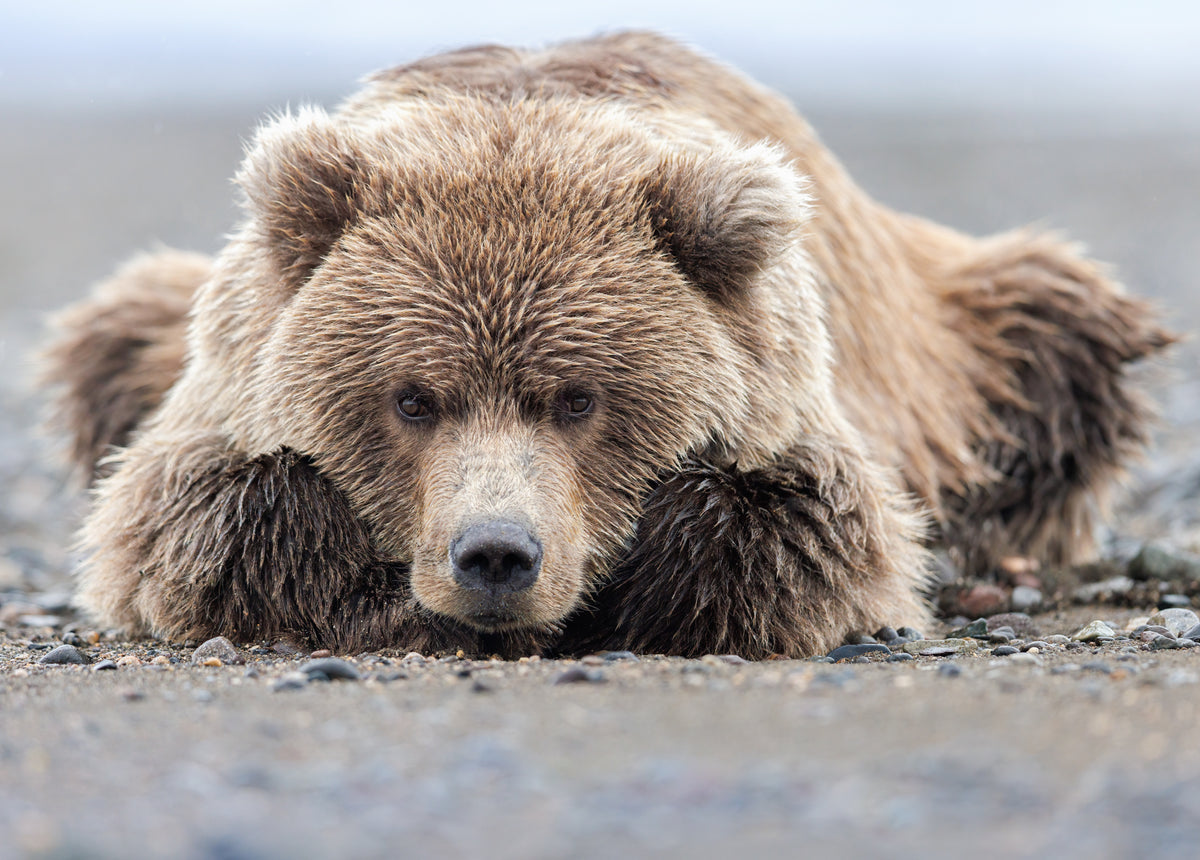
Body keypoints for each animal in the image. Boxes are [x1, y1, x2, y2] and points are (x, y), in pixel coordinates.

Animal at [42, 31, 1169, 659]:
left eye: (579, 398)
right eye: (412, 398)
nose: (496, 554)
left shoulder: (790, 386)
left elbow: (804, 529)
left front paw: (625, 587)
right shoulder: (230, 375)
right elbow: (197, 515)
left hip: (962, 349)